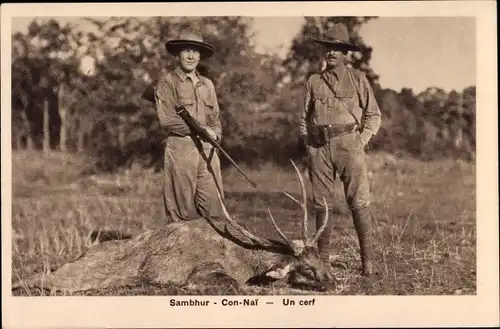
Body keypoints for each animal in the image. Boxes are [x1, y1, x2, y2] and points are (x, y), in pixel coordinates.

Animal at [12, 160, 340, 294]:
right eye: (307, 268)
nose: (335, 282)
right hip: (70, 276)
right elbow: (230, 284)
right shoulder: (205, 269)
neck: (245, 257)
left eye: (322, 260)